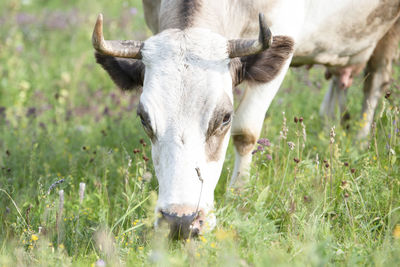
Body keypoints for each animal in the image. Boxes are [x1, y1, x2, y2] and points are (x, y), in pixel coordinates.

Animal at [92, 0, 400, 239]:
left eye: (225, 118)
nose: (180, 221)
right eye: (143, 118)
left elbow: (246, 131)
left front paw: (239, 195)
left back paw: (360, 140)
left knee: (375, 82)